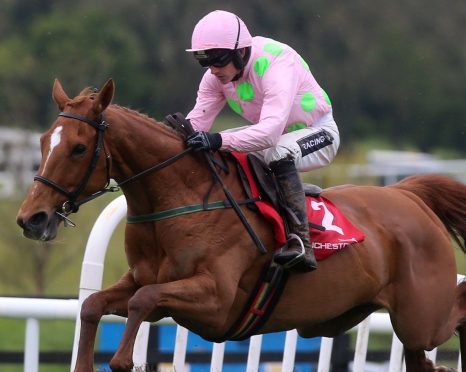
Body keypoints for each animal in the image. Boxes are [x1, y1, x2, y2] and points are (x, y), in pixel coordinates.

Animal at [17, 79, 466, 372]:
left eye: (78, 148)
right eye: (42, 141)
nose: (31, 218)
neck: (179, 200)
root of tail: (408, 193)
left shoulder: (215, 299)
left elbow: (142, 302)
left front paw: (124, 361)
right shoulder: (144, 279)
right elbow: (95, 304)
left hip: (423, 318)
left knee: (455, 311)